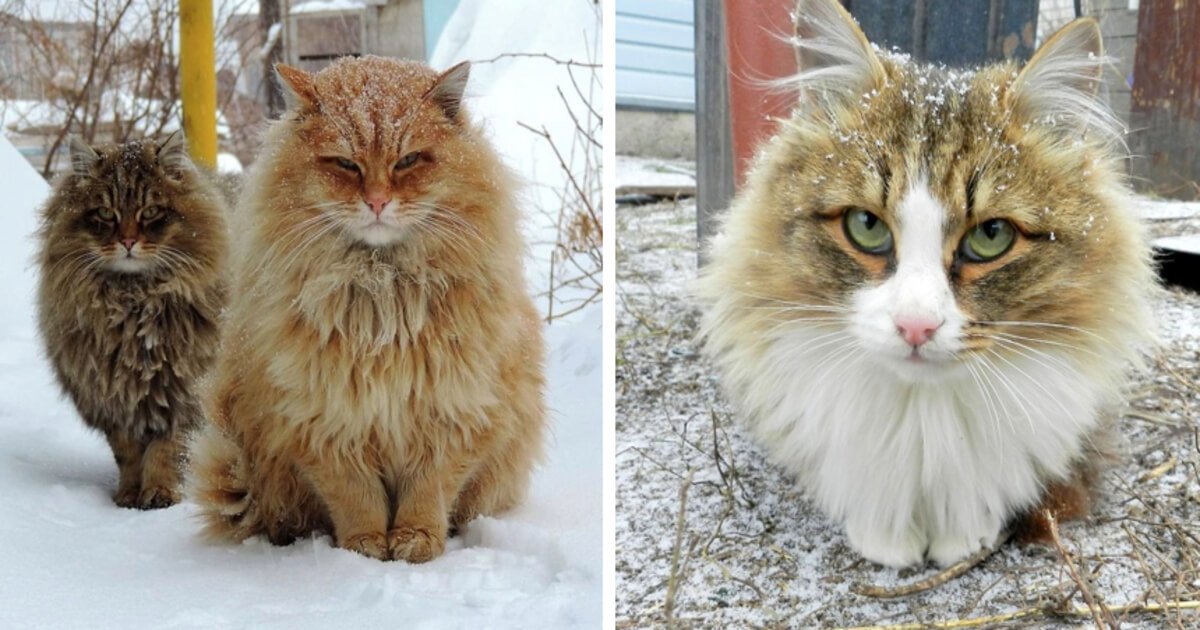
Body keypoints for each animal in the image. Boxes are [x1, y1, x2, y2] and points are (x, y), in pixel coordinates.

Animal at [37, 135, 229, 508]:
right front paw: (128, 493)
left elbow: (167, 451)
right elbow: (127, 455)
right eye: (105, 213)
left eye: (150, 211)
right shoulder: (115, 400)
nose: (127, 241)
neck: (133, 301)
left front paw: (160, 493)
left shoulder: (183, 395)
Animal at [189, 56, 547, 561]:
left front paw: (416, 541)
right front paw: (365, 548)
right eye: (345, 163)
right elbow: (356, 498)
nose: (377, 201)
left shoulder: (453, 416)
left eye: (408, 160)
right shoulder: (324, 425)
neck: (383, 292)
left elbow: (427, 492)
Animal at [700, 0, 1156, 566]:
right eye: (866, 226)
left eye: (991, 235)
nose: (915, 327)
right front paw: (884, 541)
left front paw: (966, 538)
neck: (921, 416)